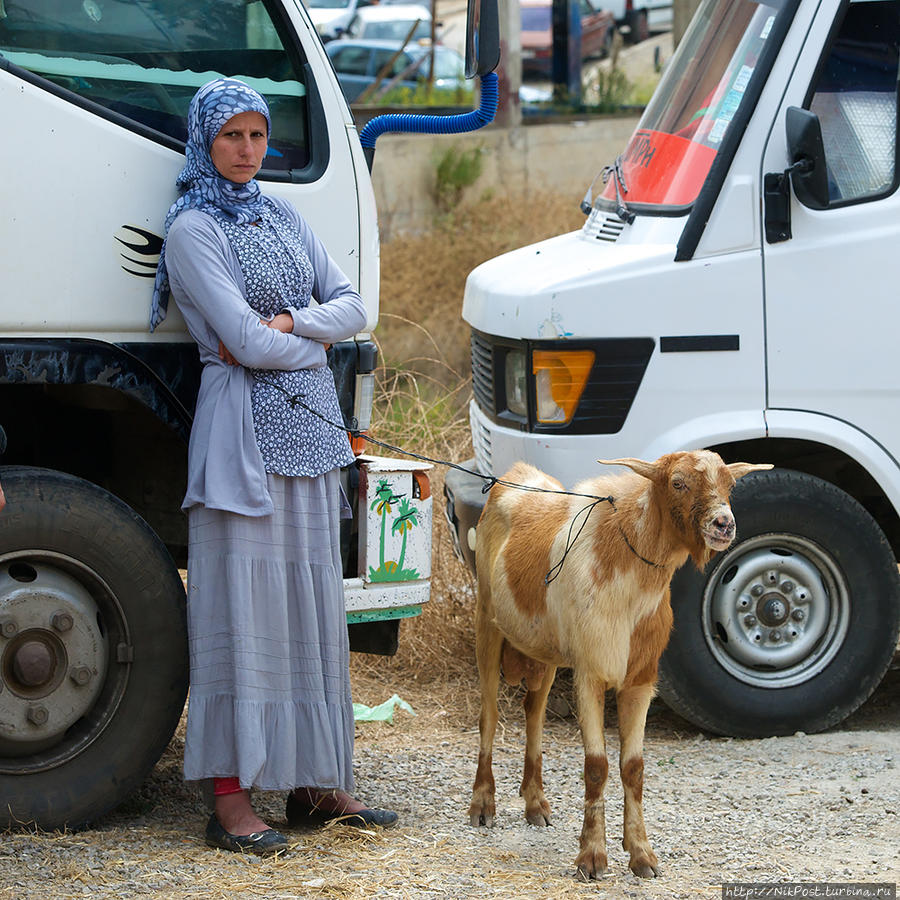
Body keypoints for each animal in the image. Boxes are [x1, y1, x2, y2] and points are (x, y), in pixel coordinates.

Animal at [468, 450, 768, 880]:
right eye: (677, 482)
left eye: (730, 484)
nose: (723, 524)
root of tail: (513, 474)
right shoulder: (590, 672)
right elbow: (597, 766)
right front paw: (592, 856)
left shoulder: (641, 680)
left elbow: (634, 767)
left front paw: (641, 853)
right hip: (486, 623)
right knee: (489, 715)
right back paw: (482, 804)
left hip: (545, 652)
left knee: (534, 713)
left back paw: (535, 802)